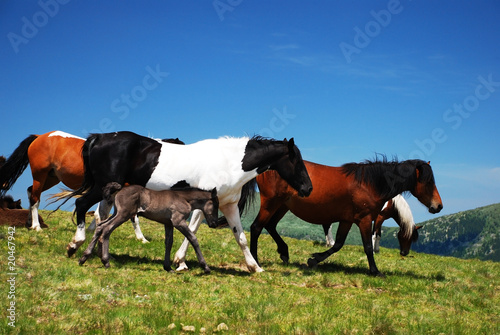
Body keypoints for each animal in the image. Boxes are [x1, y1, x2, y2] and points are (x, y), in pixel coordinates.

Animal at [62, 131, 312, 272]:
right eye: (296, 161)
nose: (308, 188)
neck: (230, 162)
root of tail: (99, 137)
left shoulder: (229, 206)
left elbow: (240, 237)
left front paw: (255, 267)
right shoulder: (204, 204)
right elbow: (192, 231)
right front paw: (180, 262)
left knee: (101, 217)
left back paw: (97, 253)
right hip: (101, 187)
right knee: (82, 206)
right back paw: (75, 245)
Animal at [252, 159, 444, 276]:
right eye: (428, 182)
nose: (438, 206)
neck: (371, 184)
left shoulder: (347, 220)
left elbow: (338, 244)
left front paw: (314, 260)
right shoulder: (366, 219)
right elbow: (368, 246)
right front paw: (375, 271)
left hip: (282, 206)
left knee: (270, 226)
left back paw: (284, 252)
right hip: (271, 202)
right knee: (256, 227)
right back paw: (255, 262)